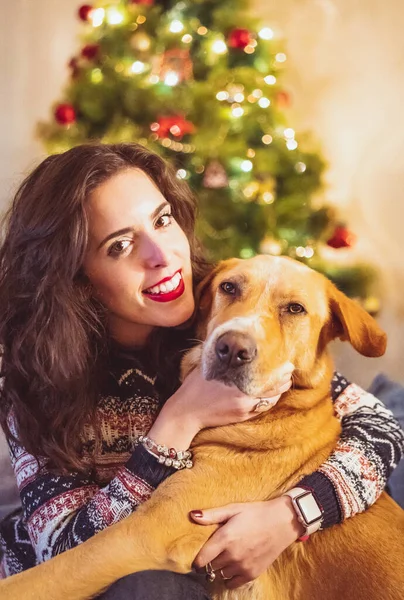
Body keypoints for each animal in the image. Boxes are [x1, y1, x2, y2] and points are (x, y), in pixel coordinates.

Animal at [0, 254, 404, 600]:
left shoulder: (145, 533)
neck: (279, 411)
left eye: (295, 309)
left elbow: (47, 575)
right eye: (229, 287)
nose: (232, 349)